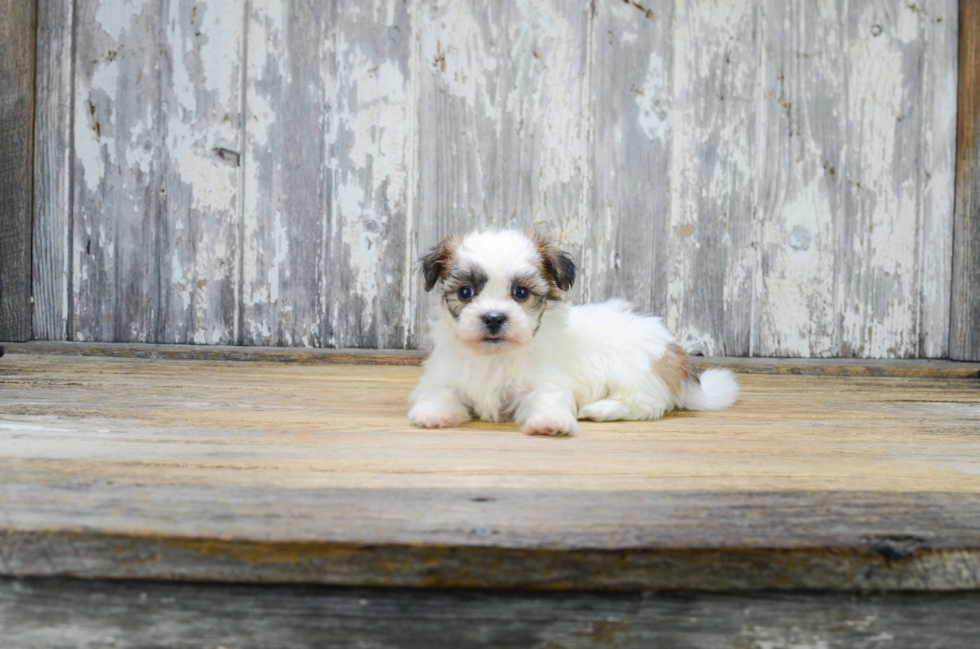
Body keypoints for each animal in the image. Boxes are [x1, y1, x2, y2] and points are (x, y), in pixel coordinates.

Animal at [406, 228, 736, 436]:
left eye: (520, 292)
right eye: (466, 292)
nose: (494, 318)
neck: (495, 355)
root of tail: (675, 355)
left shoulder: (545, 381)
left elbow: (548, 399)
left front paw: (549, 422)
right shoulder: (443, 377)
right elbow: (438, 393)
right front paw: (434, 414)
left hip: (633, 369)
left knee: (646, 403)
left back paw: (599, 410)